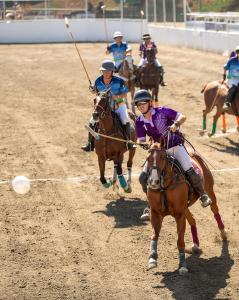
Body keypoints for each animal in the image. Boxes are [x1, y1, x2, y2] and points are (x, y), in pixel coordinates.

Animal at [146, 140, 226, 274]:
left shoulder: (179, 214)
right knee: (192, 220)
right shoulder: (156, 213)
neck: (164, 186)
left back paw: (223, 234)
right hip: (185, 208)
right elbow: (154, 235)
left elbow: (180, 240)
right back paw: (195, 245)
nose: (154, 182)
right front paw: (152, 259)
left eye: (162, 157)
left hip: (210, 190)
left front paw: (182, 265)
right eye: (148, 158)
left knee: (215, 210)